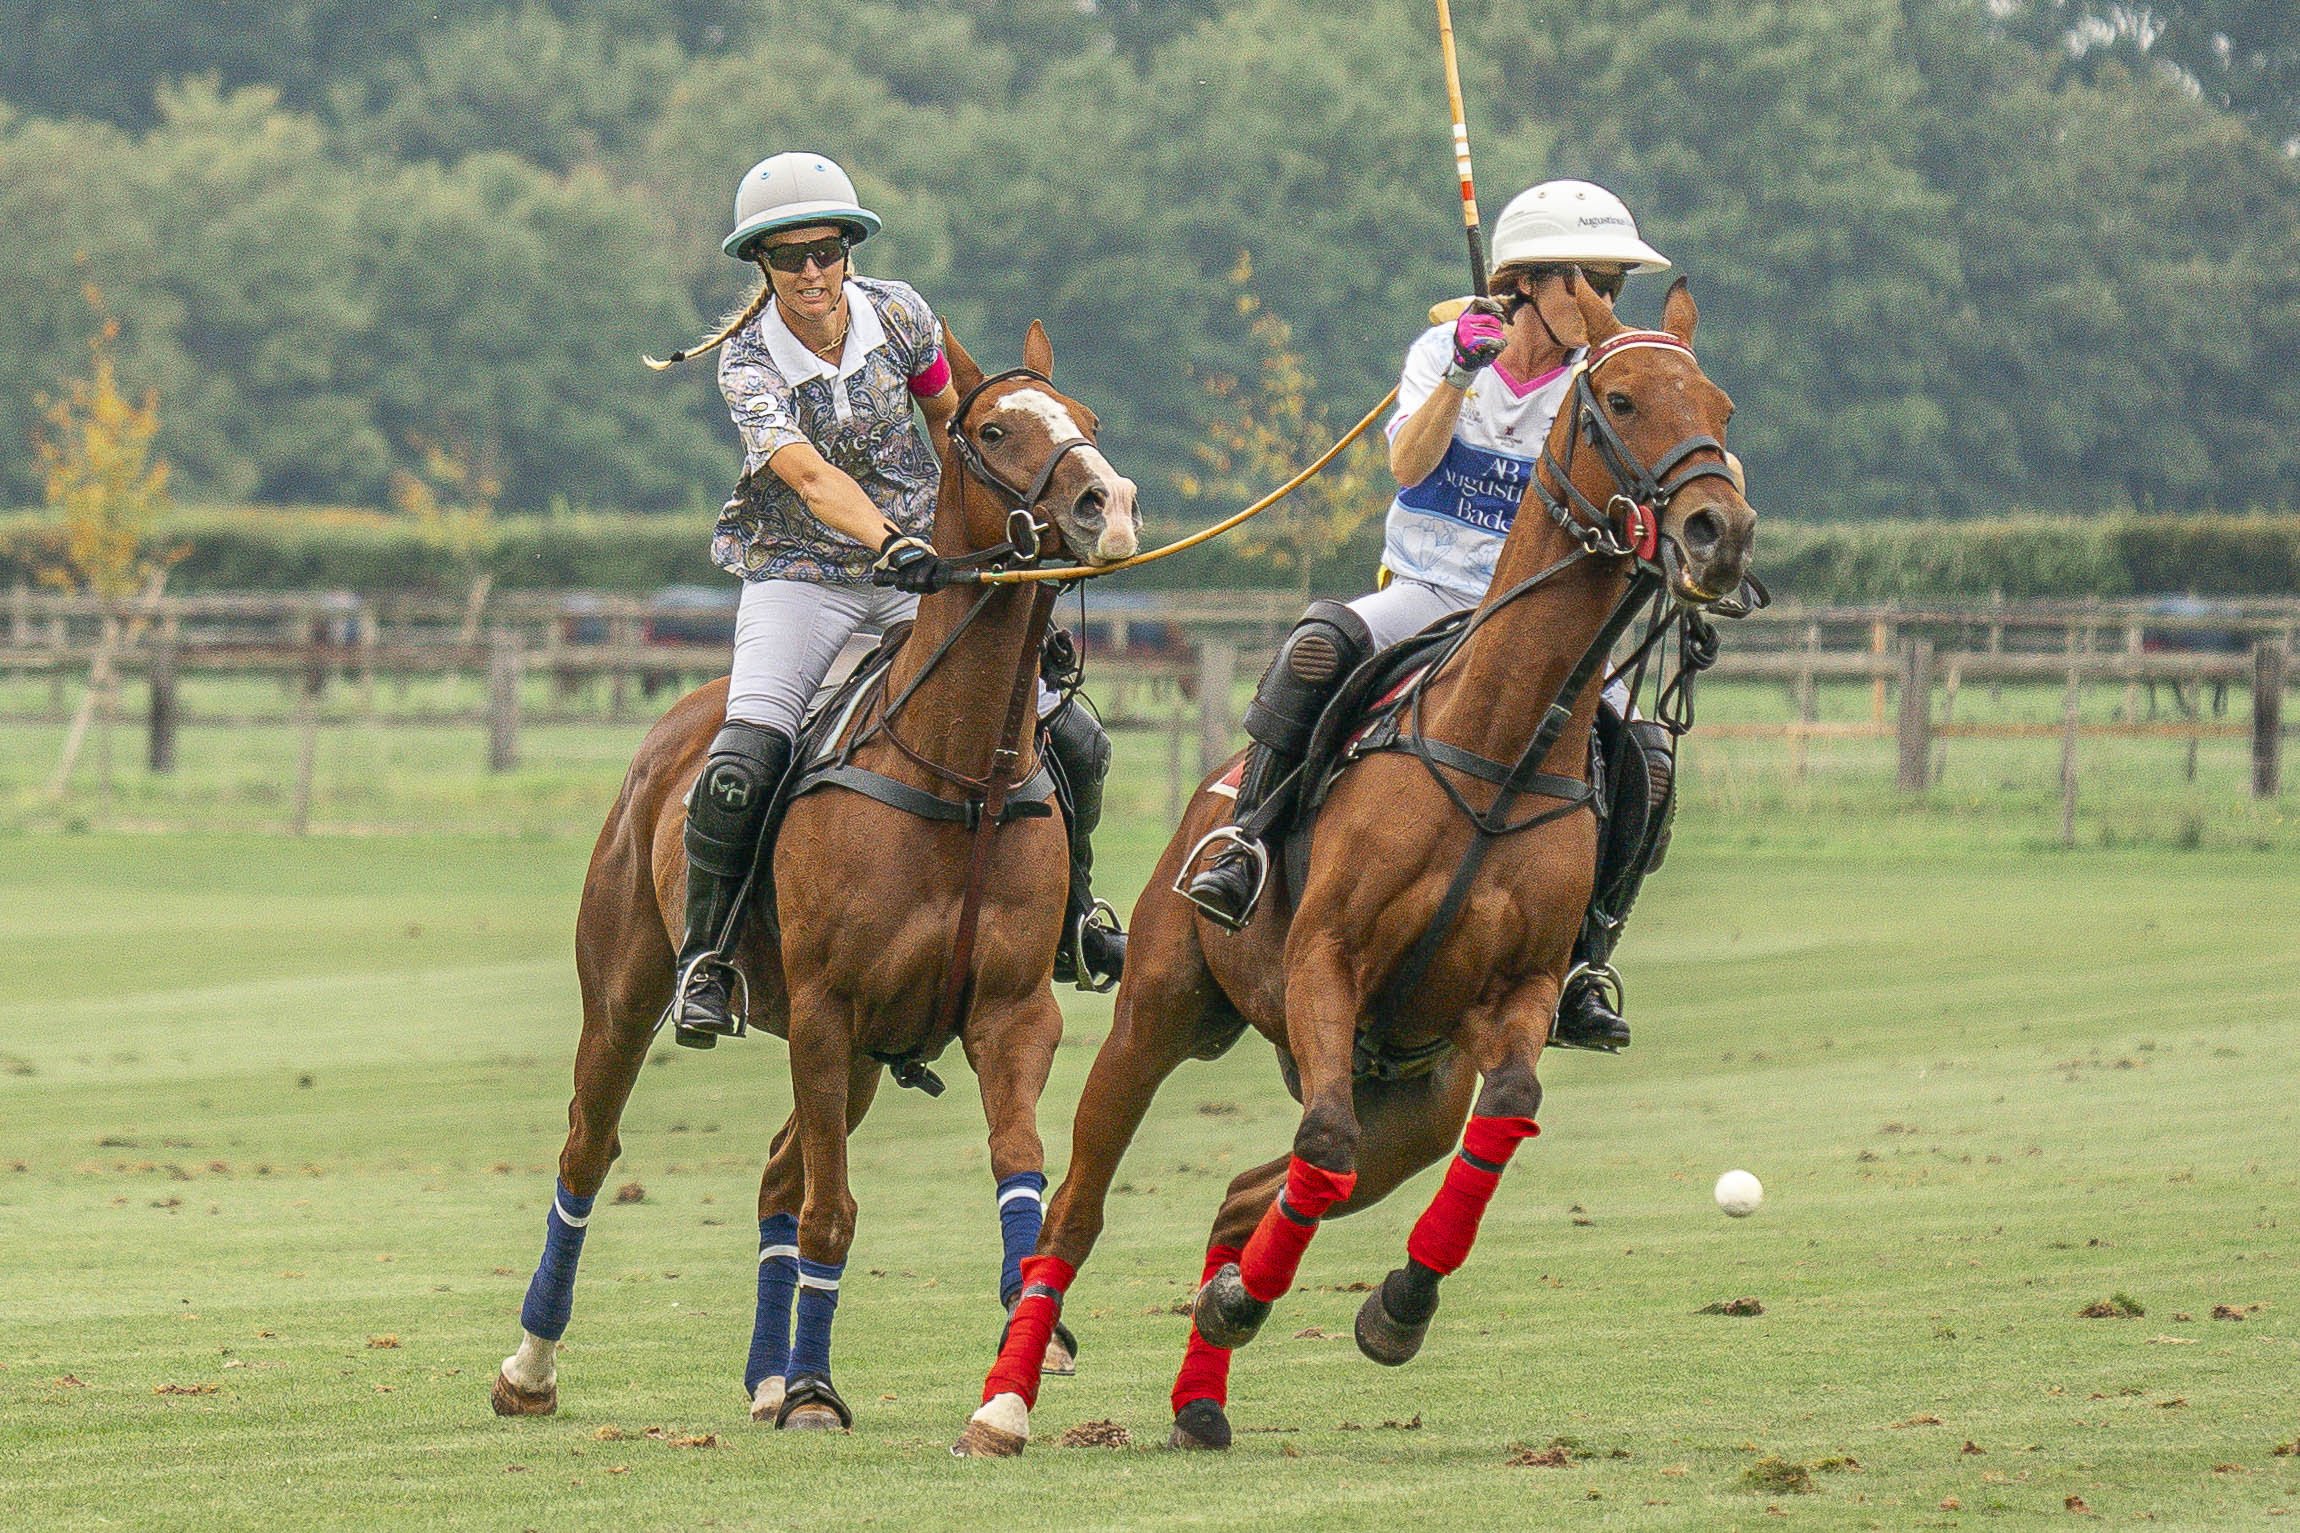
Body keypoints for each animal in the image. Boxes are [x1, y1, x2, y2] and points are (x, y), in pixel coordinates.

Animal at [489, 324, 1136, 1443]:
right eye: (994, 430)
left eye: (1088, 420)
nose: (1111, 504)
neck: (960, 776)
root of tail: (682, 719)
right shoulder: (831, 1010)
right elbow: (835, 1213)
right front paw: (818, 1391)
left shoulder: (1011, 1013)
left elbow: (1020, 1176)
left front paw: (1022, 1357)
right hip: (627, 992)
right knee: (588, 1151)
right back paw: (532, 1369)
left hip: (866, 1054)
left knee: (775, 1173)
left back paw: (764, 1375)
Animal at [961, 275, 1748, 1461]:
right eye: (1617, 399)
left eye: (1721, 406)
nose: (1720, 531)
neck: (1499, 750)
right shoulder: (1327, 958)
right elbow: (1321, 1145)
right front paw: (1249, 1303)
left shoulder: (1513, 998)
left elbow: (1506, 1111)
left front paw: (1392, 1308)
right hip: (1161, 1010)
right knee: (1084, 1205)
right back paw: (1006, 1401)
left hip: (1411, 1100)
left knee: (1252, 1191)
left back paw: (1202, 1385)